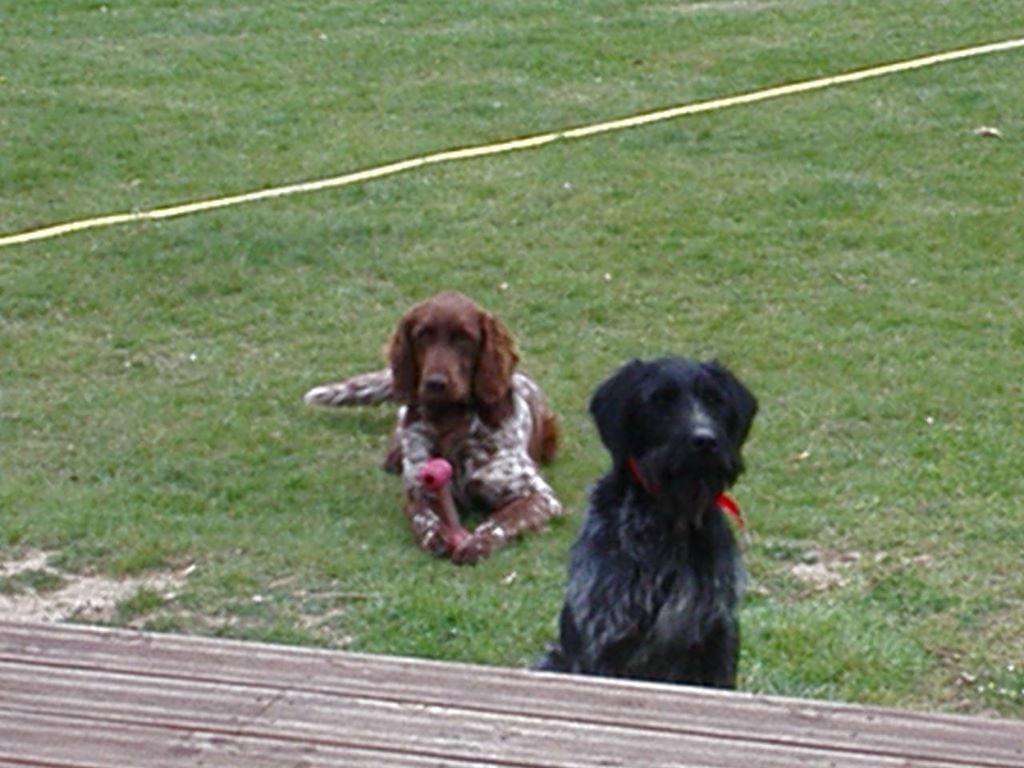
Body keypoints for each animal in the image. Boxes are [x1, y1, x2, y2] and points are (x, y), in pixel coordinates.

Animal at [305, 290, 561, 565]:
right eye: (422, 335)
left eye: (464, 338)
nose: (435, 383)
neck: (451, 423)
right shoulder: (418, 486)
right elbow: (424, 516)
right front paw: (436, 535)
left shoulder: (540, 496)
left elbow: (502, 521)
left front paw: (477, 543)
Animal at [540, 358, 757, 688]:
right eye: (659, 401)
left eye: (714, 399)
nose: (705, 440)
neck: (670, 520)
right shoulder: (607, 638)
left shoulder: (718, 634)